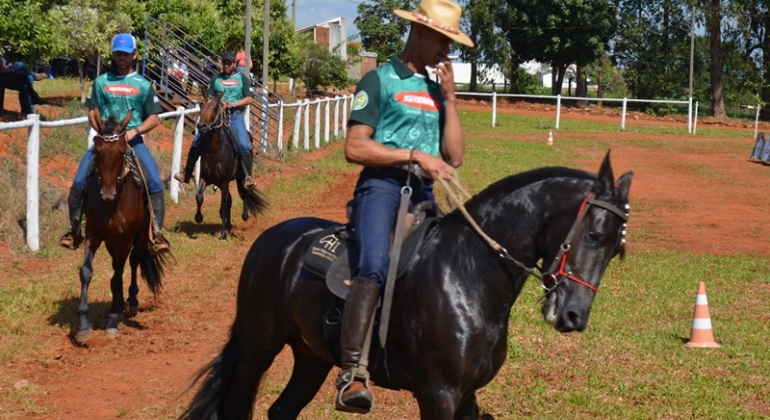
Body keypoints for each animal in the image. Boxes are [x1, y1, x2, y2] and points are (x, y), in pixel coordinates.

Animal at [76, 110, 170, 342]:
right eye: (97, 152)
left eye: (120, 153)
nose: (107, 194)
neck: (114, 204)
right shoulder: (94, 234)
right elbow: (86, 272)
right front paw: (83, 325)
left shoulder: (126, 239)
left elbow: (119, 274)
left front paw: (112, 321)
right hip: (111, 242)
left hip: (140, 237)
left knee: (134, 262)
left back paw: (131, 302)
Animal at [178, 153, 632, 418]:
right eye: (595, 235)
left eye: (617, 250)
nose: (573, 315)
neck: (467, 275)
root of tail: (272, 240)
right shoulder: (438, 396)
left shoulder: (466, 397)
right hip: (257, 350)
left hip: (311, 357)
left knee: (281, 411)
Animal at [190, 93, 266, 241]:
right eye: (201, 105)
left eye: (215, 107)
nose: (201, 126)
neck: (215, 150)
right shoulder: (205, 178)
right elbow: (199, 197)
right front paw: (198, 217)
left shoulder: (224, 183)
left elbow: (223, 207)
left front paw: (223, 235)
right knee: (230, 199)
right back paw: (229, 225)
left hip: (241, 177)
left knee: (244, 193)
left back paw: (244, 216)